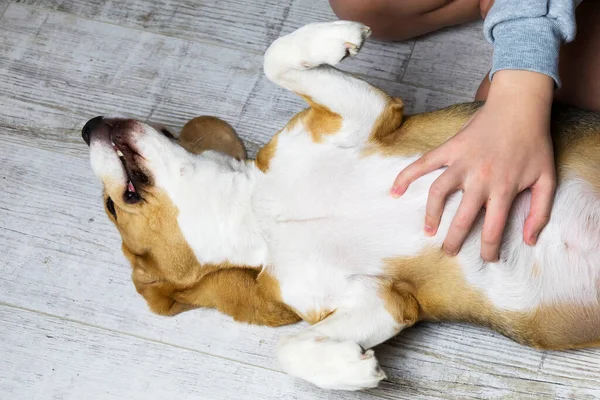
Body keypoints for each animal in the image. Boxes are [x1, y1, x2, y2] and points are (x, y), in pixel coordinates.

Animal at [83, 21, 600, 390]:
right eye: (110, 207)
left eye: (167, 130)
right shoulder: (380, 299)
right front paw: (351, 370)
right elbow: (287, 349)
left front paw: (334, 36)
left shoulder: (365, 116)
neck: (260, 217)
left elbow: (273, 57)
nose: (89, 125)